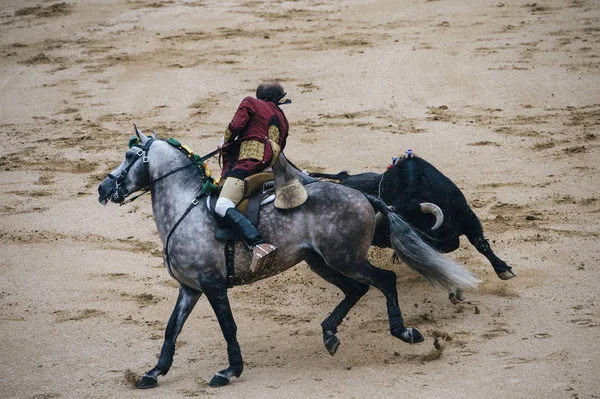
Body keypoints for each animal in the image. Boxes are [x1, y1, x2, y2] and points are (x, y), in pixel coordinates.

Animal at [97, 129, 478, 390]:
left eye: (130, 154)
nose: (103, 188)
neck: (184, 210)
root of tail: (365, 196)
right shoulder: (190, 288)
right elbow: (171, 329)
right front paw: (154, 372)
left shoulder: (213, 285)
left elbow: (228, 326)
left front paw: (229, 371)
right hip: (319, 262)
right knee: (356, 290)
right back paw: (330, 334)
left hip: (345, 259)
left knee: (384, 280)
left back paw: (403, 331)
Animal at [310, 155, 516, 282]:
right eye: (410, 232)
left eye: (420, 225)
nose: (453, 239)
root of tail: (345, 180)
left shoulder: (468, 217)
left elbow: (481, 243)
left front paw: (503, 269)